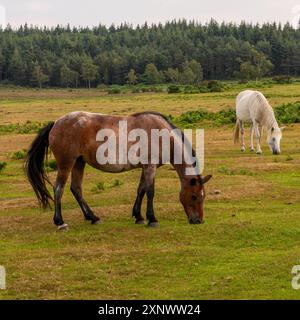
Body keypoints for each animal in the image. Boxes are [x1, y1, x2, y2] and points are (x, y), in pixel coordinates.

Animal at [26, 111, 213, 229]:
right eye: (194, 196)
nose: (199, 221)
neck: (162, 135)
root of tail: (55, 123)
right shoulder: (150, 167)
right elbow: (150, 191)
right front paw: (152, 219)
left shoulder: (145, 167)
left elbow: (141, 190)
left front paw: (139, 217)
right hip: (67, 164)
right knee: (59, 189)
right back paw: (60, 222)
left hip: (79, 162)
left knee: (76, 189)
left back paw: (93, 217)